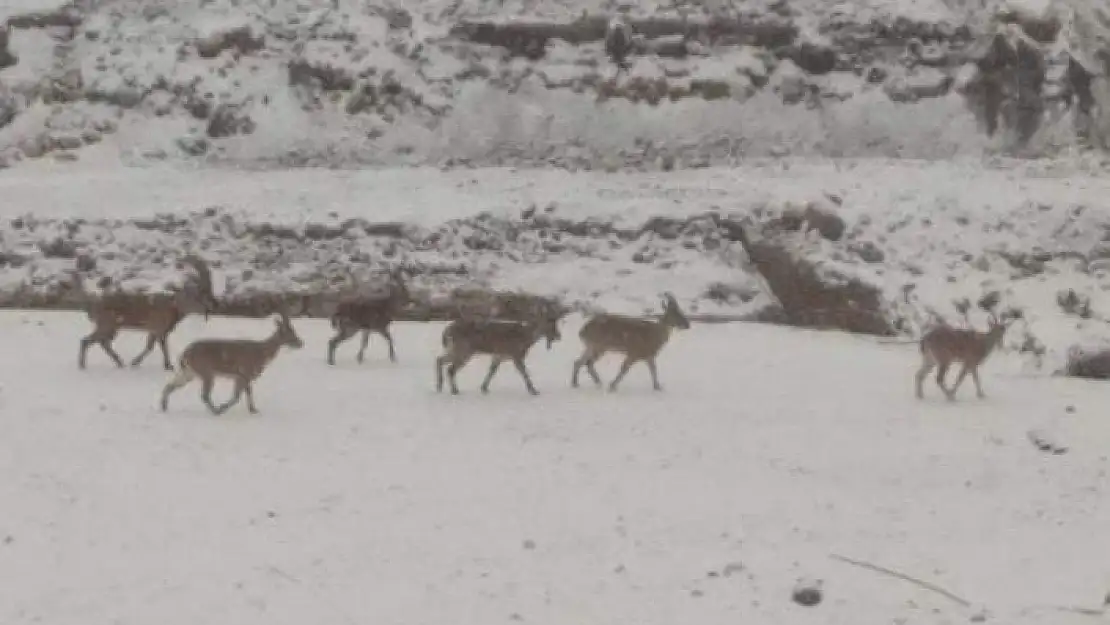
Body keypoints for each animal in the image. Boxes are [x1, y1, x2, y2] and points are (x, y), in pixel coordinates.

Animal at [78, 255, 218, 370]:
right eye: (200, 294)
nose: (213, 306)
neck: (172, 306)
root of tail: (93, 305)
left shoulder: (157, 331)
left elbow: (154, 345)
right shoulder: (158, 329)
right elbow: (156, 346)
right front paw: (166, 366)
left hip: (112, 329)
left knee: (102, 342)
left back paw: (120, 363)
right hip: (106, 325)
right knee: (87, 340)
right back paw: (83, 366)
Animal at [158, 310, 301, 415]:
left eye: (293, 331)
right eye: (290, 332)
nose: (301, 343)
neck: (261, 354)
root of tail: (184, 355)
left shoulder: (242, 376)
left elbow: (246, 393)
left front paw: (253, 410)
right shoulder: (244, 372)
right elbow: (238, 396)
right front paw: (224, 407)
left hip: (189, 372)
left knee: (170, 385)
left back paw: (163, 407)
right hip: (206, 371)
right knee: (204, 395)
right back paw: (216, 411)